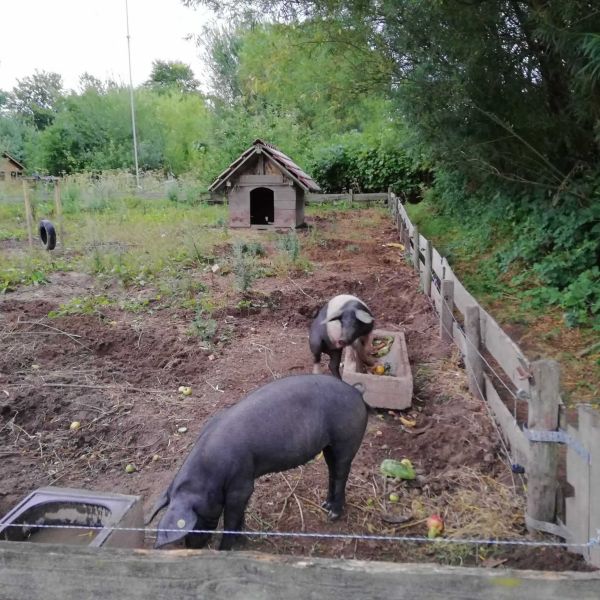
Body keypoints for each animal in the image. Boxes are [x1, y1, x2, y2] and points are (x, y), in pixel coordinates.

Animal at [148, 376, 368, 552]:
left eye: (195, 522)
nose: (193, 547)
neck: (209, 472)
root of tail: (356, 391)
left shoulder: (241, 483)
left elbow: (230, 519)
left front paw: (224, 549)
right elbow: (239, 516)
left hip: (346, 439)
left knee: (341, 473)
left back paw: (333, 514)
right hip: (329, 446)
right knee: (332, 471)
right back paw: (325, 505)